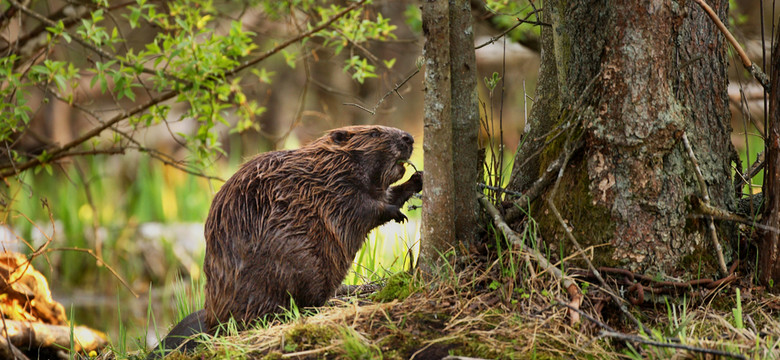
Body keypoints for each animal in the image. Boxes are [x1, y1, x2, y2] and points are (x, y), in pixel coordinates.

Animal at [149, 124, 424, 358]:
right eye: (375, 132)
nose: (409, 138)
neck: (329, 166)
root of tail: (211, 323)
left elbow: (385, 195)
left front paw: (417, 178)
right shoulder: (336, 189)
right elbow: (363, 208)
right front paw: (397, 212)